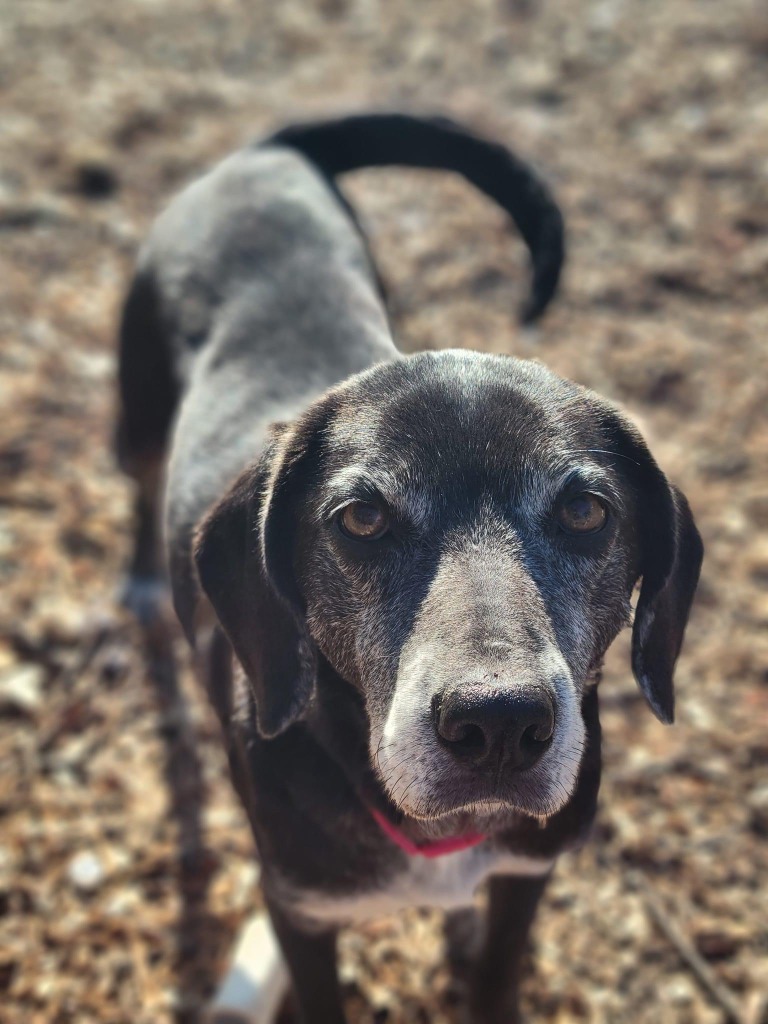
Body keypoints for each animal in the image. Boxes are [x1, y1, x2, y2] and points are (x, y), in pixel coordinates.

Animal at [115, 114, 704, 1024]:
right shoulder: (300, 911)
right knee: (139, 481)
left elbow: (495, 976)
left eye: (585, 512)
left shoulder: (526, 876)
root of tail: (265, 151)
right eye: (361, 519)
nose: (499, 725)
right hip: (138, 402)